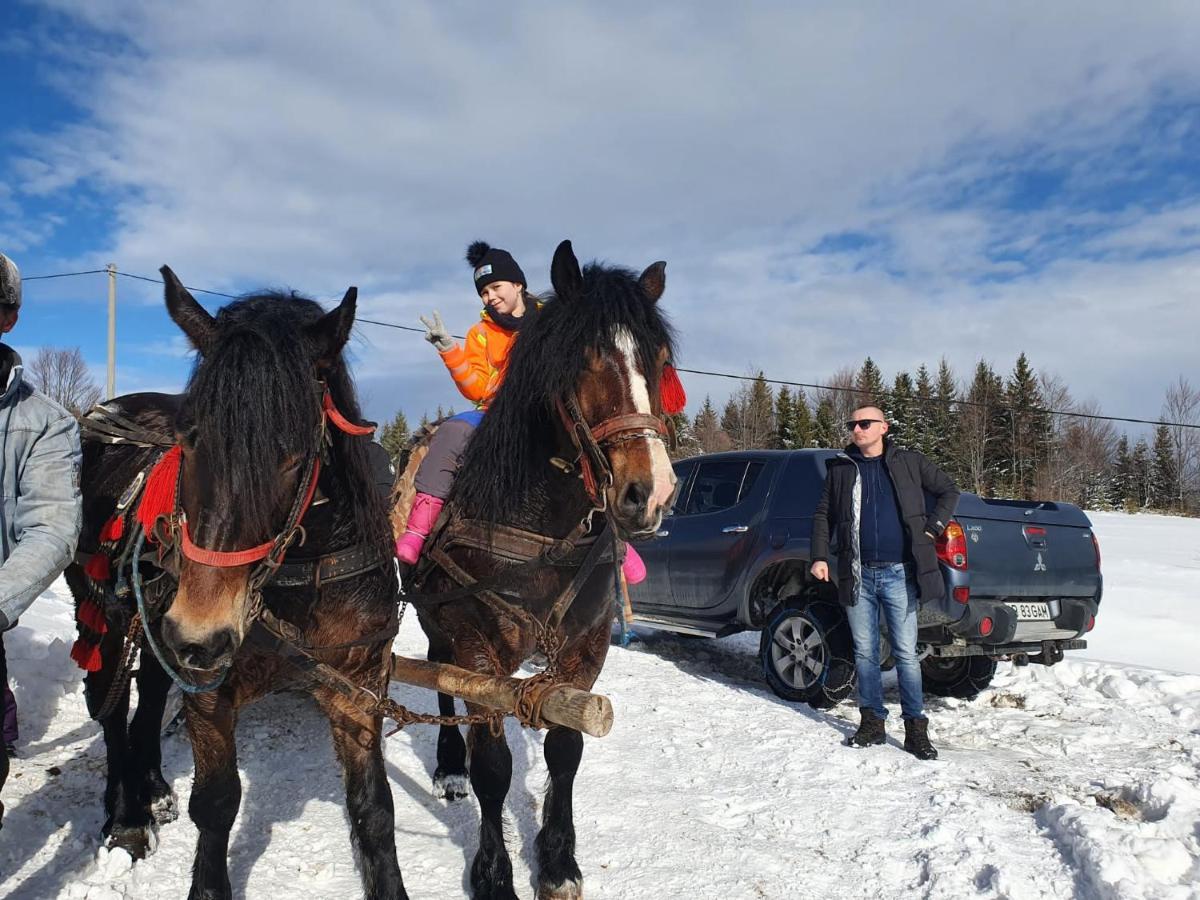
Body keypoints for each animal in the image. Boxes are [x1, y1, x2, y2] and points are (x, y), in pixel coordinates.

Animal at [65, 273, 403, 900]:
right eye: (190, 438)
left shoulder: (359, 688)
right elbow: (218, 803)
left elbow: (373, 810)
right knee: (112, 705)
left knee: (151, 689)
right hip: (110, 616)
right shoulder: (209, 688)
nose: (204, 630)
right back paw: (127, 816)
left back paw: (152, 785)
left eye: (295, 453)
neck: (301, 577)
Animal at [410, 240, 676, 900]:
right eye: (582, 359)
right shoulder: (477, 646)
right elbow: (493, 765)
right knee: (439, 676)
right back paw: (448, 767)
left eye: (659, 361)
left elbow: (565, 749)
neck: (542, 533)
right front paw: (492, 873)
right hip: (437, 619)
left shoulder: (586, 644)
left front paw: (557, 862)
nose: (650, 493)